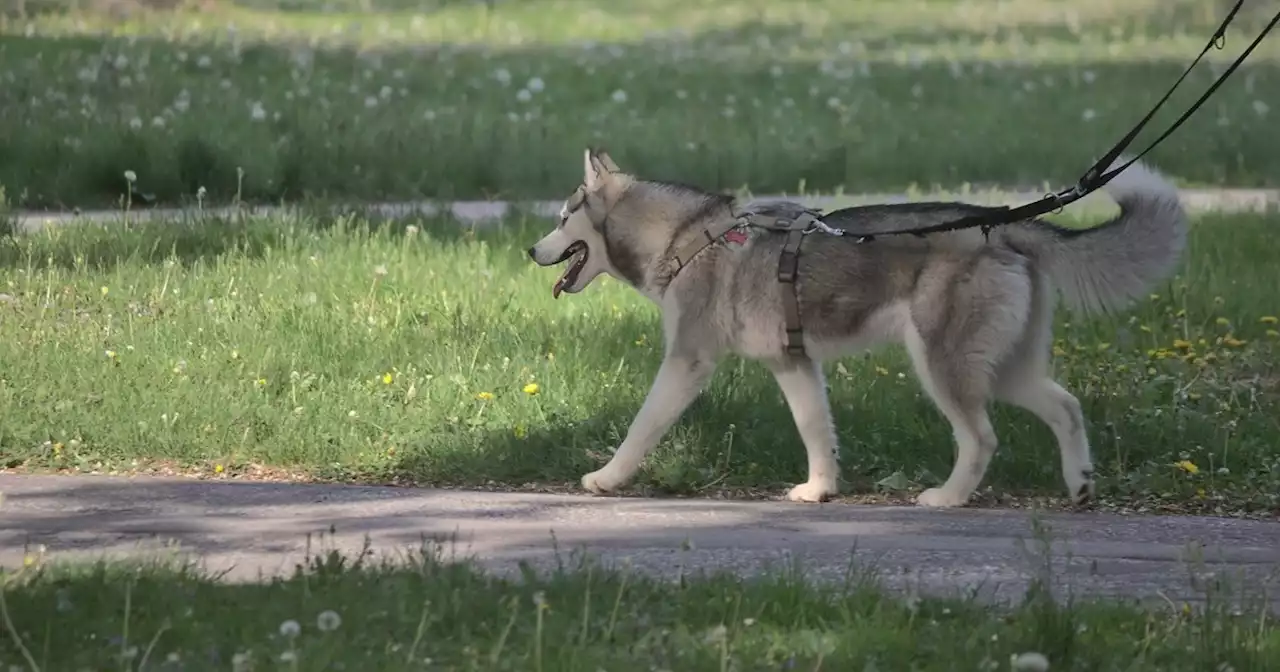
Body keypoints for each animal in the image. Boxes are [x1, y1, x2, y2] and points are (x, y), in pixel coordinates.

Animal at [524, 149, 1182, 506]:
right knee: (1066, 407)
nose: (531, 251)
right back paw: (1080, 484)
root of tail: (1002, 224)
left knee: (981, 438)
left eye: (560, 218)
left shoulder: (688, 361)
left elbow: (642, 427)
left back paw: (949, 496)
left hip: (943, 363)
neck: (689, 238)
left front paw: (608, 478)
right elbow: (816, 431)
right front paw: (819, 489)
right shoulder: (793, 363)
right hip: (1003, 366)